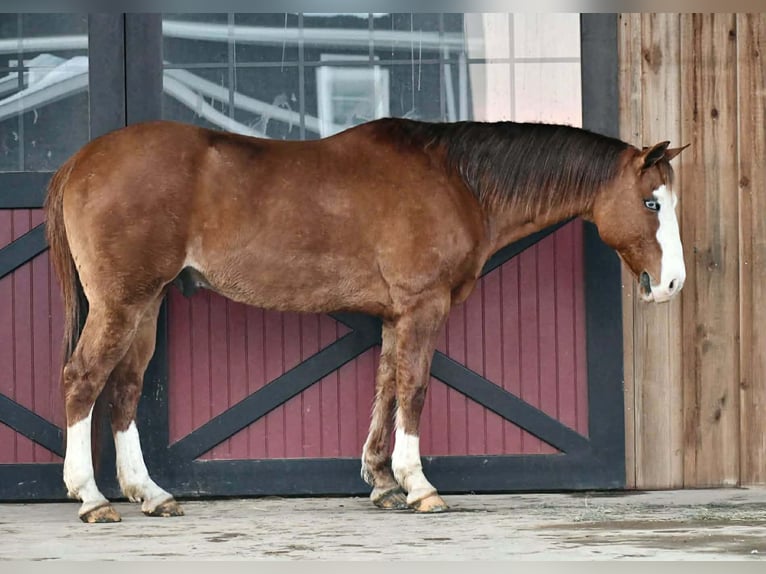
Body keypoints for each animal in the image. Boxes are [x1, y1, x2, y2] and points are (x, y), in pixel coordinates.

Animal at [44, 117, 688, 522]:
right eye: (651, 202)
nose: (673, 283)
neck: (456, 180)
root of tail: (81, 160)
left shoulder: (394, 315)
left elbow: (386, 387)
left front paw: (381, 482)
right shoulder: (423, 306)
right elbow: (415, 388)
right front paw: (418, 486)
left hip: (147, 303)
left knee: (124, 389)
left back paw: (150, 494)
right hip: (123, 302)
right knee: (82, 380)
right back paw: (92, 497)